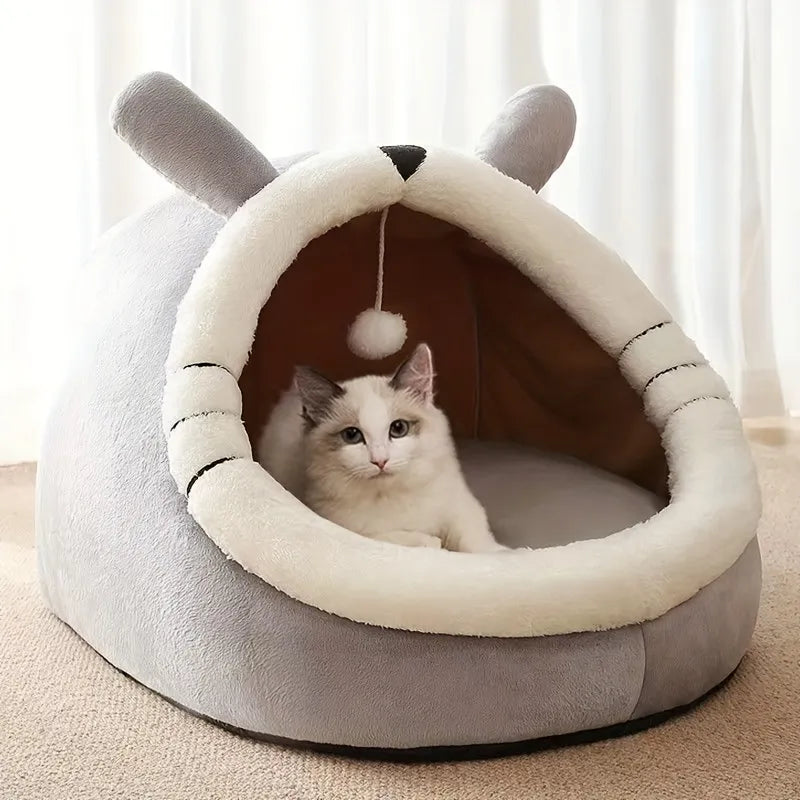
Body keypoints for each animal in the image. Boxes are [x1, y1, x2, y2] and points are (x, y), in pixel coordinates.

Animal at [258, 344, 506, 552]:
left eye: (398, 428)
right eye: (352, 435)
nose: (380, 461)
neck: (391, 496)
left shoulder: (462, 507)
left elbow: (476, 541)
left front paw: (503, 559)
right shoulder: (349, 530)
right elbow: (410, 539)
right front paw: (434, 544)